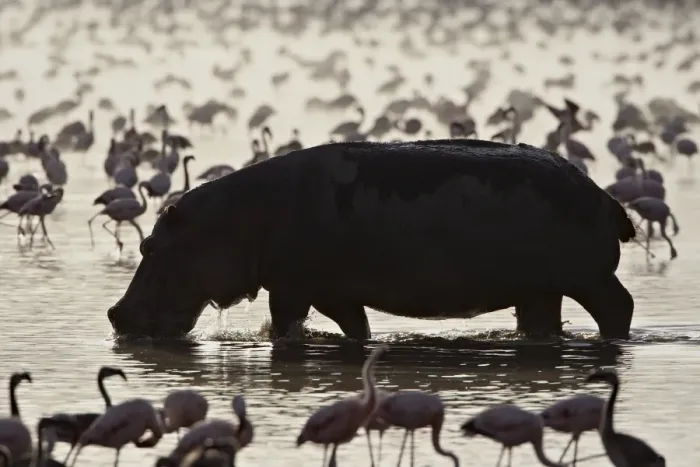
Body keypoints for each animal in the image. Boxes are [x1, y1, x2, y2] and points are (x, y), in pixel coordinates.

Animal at [108, 139, 636, 340]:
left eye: (150, 248)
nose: (113, 313)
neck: (229, 222)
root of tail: (604, 196)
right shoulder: (332, 292)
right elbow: (355, 327)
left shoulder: (292, 287)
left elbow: (285, 324)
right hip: (541, 290)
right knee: (544, 321)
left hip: (587, 278)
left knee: (619, 305)